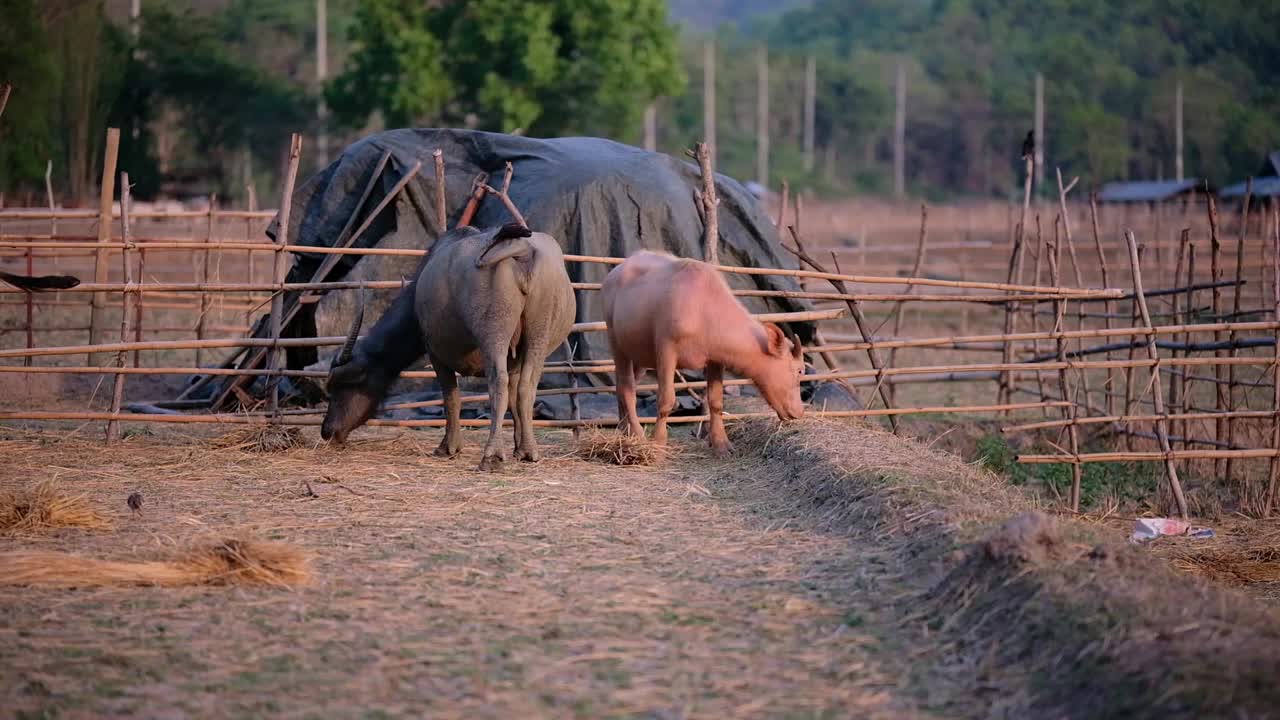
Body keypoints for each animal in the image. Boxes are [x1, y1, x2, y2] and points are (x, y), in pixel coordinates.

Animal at [322, 224, 578, 471]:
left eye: (341, 386)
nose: (327, 431)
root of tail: (522, 250)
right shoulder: (514, 358)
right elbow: (516, 396)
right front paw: (519, 447)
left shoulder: (434, 351)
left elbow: (451, 397)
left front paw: (448, 447)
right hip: (539, 333)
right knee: (527, 386)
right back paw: (529, 451)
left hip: (493, 334)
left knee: (497, 383)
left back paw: (491, 456)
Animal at [599, 251, 798, 453]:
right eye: (797, 371)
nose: (799, 411)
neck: (702, 310)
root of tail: (614, 273)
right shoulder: (666, 350)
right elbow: (666, 400)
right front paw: (659, 443)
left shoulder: (715, 359)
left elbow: (716, 401)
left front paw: (721, 444)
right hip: (616, 342)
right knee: (626, 386)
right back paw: (636, 433)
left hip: (639, 355)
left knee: (622, 385)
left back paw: (624, 430)